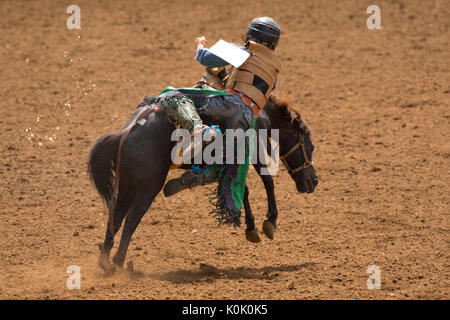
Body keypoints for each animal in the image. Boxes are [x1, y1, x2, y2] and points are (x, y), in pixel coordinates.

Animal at [88, 94, 318, 272]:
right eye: (311, 145)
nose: (313, 181)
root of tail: (125, 134)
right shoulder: (253, 151)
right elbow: (266, 182)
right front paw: (270, 221)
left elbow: (241, 188)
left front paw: (251, 226)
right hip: (148, 187)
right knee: (130, 220)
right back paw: (119, 263)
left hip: (127, 185)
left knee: (116, 217)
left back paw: (105, 260)